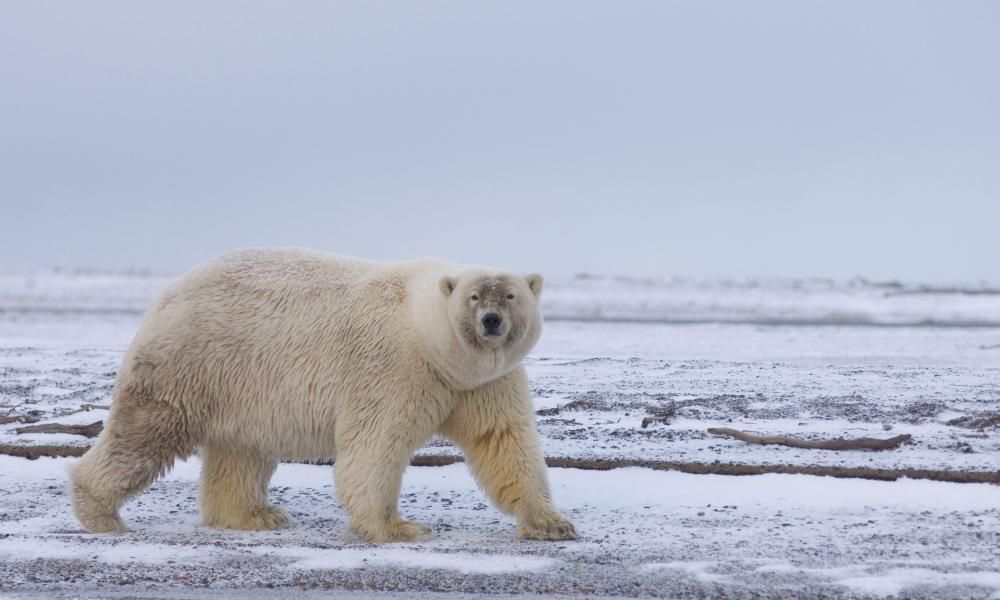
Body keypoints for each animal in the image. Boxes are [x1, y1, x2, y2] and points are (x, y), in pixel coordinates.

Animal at [70, 248, 580, 544]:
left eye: (510, 295)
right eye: (474, 297)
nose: (492, 321)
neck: (428, 335)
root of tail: (168, 292)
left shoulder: (482, 383)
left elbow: (504, 442)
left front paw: (552, 524)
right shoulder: (394, 369)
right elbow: (375, 446)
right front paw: (398, 527)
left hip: (242, 384)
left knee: (242, 451)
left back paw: (256, 515)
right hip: (192, 362)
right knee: (146, 433)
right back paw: (100, 513)